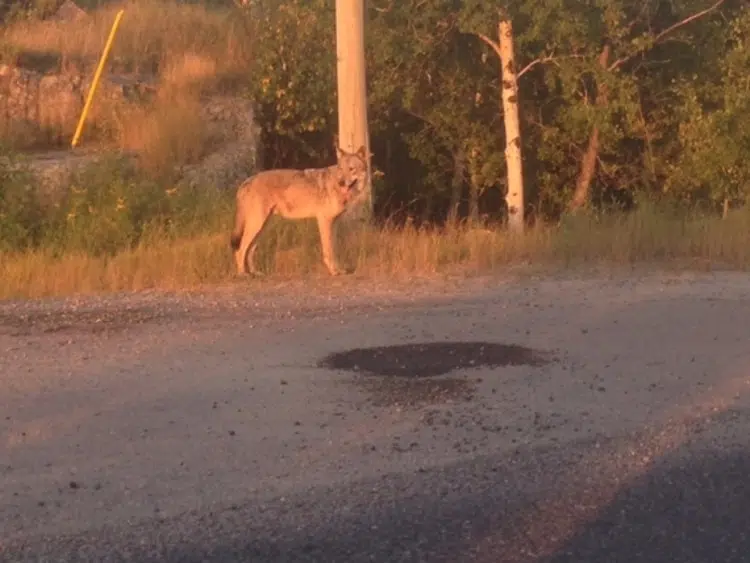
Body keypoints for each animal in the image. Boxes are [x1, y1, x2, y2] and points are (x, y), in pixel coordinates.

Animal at [229, 144, 369, 276]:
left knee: (250, 250)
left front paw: (338, 270)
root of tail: (247, 181)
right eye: (341, 169)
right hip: (256, 225)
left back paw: (255, 272)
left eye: (351, 169)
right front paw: (333, 271)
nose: (341, 183)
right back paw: (242, 274)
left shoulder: (334, 223)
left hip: (261, 227)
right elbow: (328, 250)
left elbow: (333, 249)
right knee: (240, 250)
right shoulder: (324, 220)